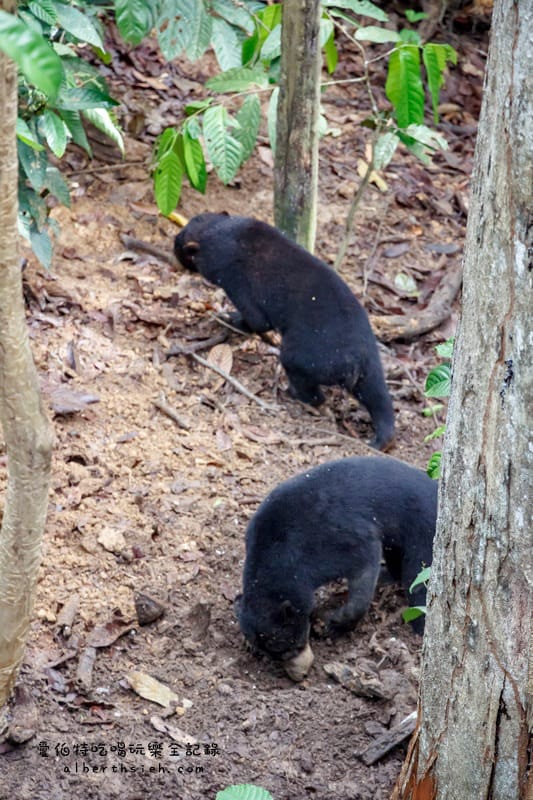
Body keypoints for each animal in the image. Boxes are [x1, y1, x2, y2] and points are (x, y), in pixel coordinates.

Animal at [174, 213, 395, 451]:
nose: (173, 246)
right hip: (371, 371)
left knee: (312, 391)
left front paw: (227, 317)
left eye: (180, 245)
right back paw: (381, 441)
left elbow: (256, 320)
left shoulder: (237, 283)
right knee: (381, 402)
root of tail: (356, 361)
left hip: (299, 357)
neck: (227, 233)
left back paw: (292, 393)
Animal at [235, 456, 437, 672]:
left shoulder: (339, 542)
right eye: (278, 654)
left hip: (423, 536)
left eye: (293, 646)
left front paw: (332, 625)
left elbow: (363, 573)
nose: (301, 673)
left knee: (417, 583)